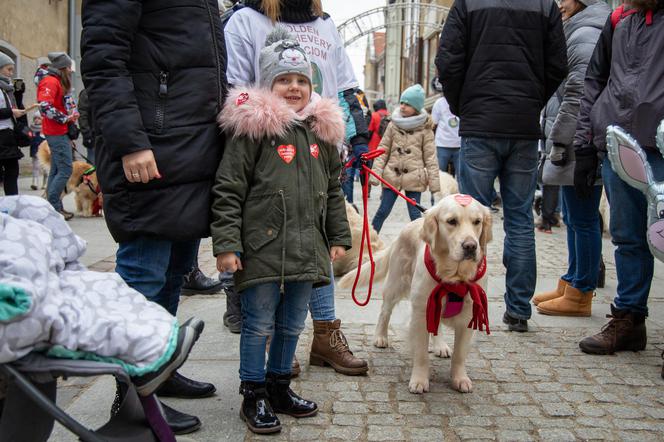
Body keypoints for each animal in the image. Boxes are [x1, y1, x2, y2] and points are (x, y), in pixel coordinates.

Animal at [340, 196, 490, 394]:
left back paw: (440, 346)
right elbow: (420, 354)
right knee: (385, 312)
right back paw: (380, 337)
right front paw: (419, 380)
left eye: (477, 222)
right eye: (452, 221)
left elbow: (459, 355)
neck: (454, 277)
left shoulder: (467, 317)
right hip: (396, 283)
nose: (471, 246)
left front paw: (460, 379)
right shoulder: (420, 313)